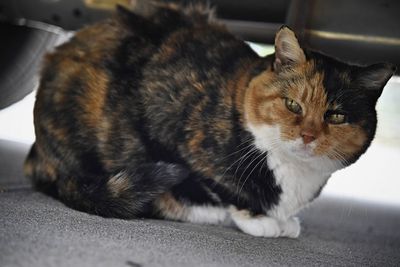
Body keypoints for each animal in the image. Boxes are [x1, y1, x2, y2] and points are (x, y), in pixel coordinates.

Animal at [23, 2, 396, 239]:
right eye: (293, 105)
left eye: (336, 115)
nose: (307, 136)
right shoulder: (167, 126)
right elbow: (218, 188)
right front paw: (259, 220)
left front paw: (282, 220)